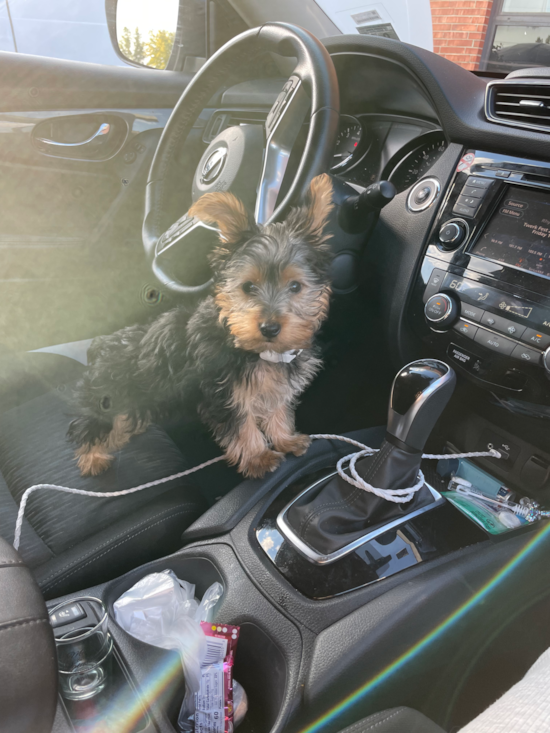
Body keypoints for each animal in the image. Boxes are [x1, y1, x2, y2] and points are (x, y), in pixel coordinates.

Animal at [69, 174, 336, 478]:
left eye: (295, 286)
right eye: (248, 287)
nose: (269, 328)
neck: (255, 349)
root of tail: (100, 344)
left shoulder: (273, 387)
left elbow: (277, 410)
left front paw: (285, 439)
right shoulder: (225, 393)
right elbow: (242, 427)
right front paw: (258, 457)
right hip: (106, 394)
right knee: (90, 424)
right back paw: (92, 458)